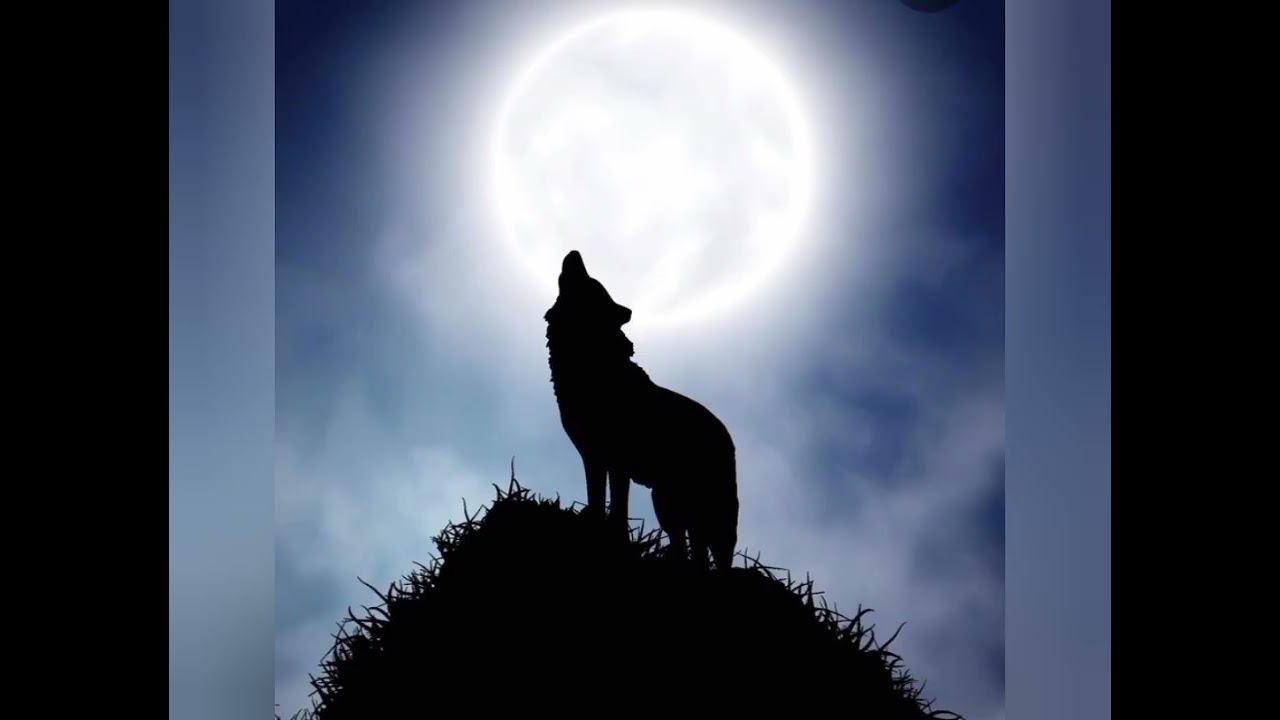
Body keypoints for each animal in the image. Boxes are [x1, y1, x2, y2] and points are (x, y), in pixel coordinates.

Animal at [544, 250, 739, 570]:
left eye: (592, 284)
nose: (575, 253)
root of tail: (727, 436)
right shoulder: (592, 457)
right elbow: (596, 497)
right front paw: (594, 526)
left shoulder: (618, 463)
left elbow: (618, 508)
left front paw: (615, 538)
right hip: (668, 503)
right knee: (688, 546)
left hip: (709, 508)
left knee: (718, 551)